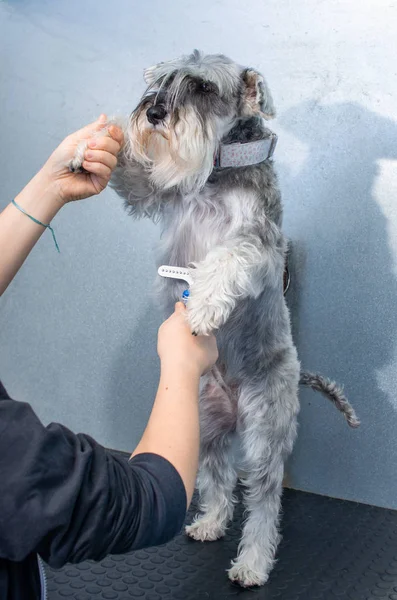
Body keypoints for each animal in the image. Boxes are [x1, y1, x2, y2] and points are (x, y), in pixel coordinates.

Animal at [71, 50, 358, 584]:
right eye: (162, 79)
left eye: (203, 87)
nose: (154, 113)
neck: (217, 173)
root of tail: (234, 400)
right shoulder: (157, 193)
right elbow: (134, 174)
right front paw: (92, 147)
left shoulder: (259, 243)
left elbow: (227, 258)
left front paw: (203, 306)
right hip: (202, 421)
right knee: (218, 475)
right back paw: (210, 522)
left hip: (265, 432)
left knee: (264, 500)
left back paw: (252, 563)